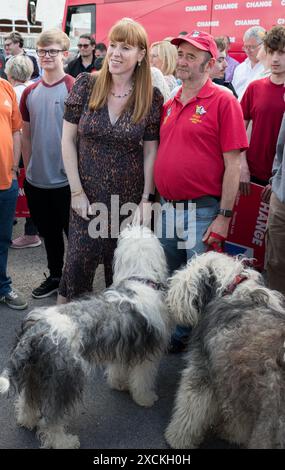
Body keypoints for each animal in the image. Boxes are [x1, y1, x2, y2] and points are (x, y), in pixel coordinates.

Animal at [0, 226, 170, 450]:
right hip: (64, 380)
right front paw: (146, 398)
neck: (139, 280)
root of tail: (36, 331)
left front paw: (119, 384)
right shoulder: (148, 352)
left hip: (35, 373)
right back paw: (64, 441)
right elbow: (143, 378)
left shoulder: (122, 345)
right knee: (52, 418)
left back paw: (27, 420)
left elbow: (119, 369)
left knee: (28, 399)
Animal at [164, 252, 284, 450]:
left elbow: (190, 408)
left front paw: (177, 439)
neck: (231, 289)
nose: (168, 302)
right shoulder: (234, 384)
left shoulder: (203, 371)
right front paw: (233, 434)